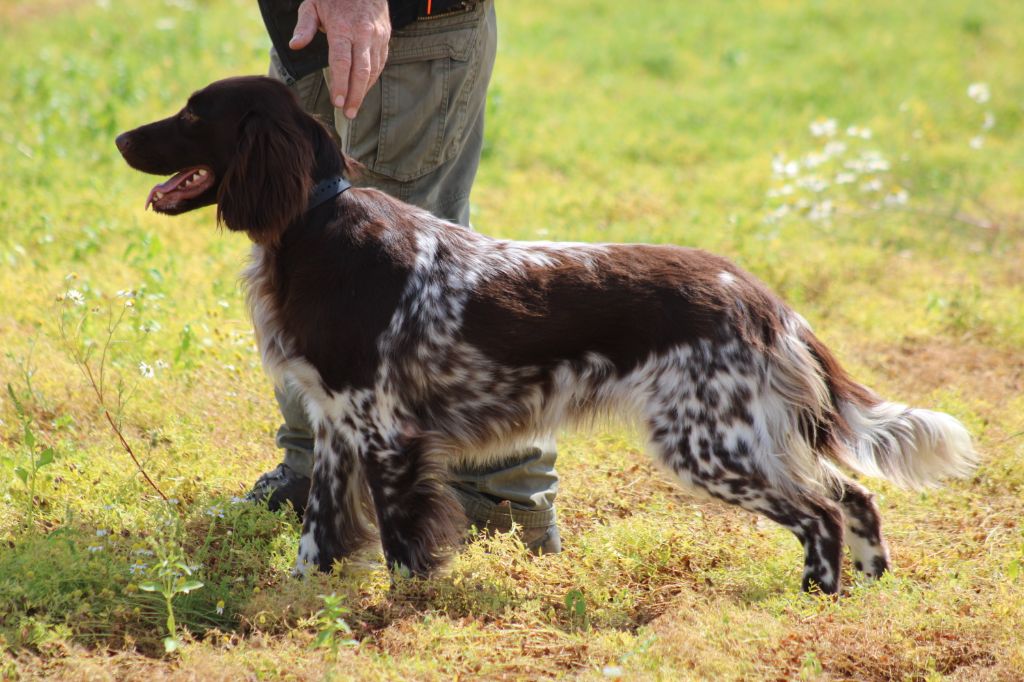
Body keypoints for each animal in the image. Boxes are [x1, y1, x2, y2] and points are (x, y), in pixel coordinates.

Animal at [116, 76, 970, 593]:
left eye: (194, 114)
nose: (121, 139)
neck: (317, 224)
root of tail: (762, 298)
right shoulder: (333, 427)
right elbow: (318, 535)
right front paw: (299, 603)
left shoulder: (386, 432)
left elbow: (401, 545)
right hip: (742, 436)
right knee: (854, 495)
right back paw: (871, 586)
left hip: (707, 443)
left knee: (821, 511)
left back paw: (815, 597)